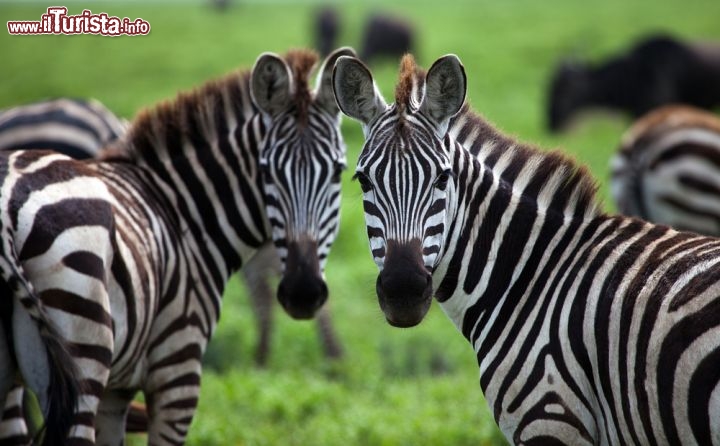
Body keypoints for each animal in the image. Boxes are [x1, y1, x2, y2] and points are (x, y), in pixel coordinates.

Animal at [0, 47, 354, 444]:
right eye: (265, 172)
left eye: (338, 171)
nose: (303, 293)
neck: (180, 209)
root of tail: (9, 207)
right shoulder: (177, 368)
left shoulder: (117, 390)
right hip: (84, 355)